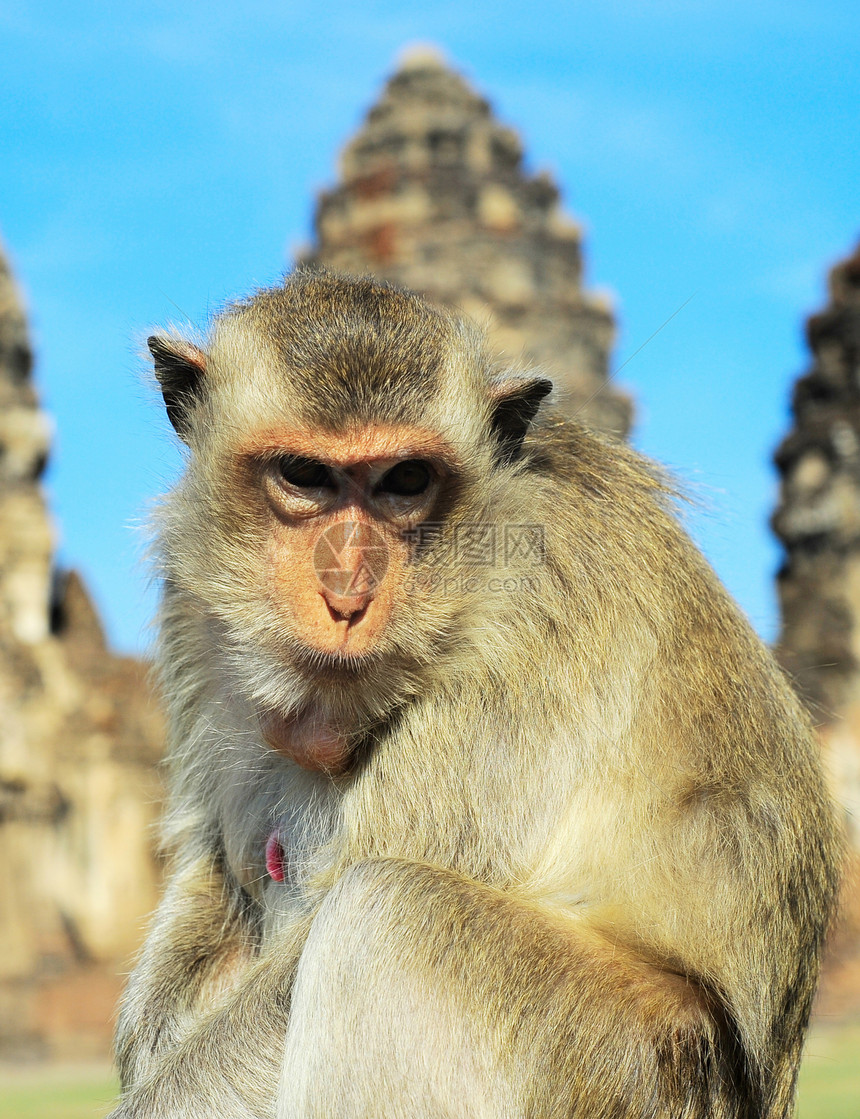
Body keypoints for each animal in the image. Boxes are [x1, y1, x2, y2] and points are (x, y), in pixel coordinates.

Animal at [107, 273, 840, 1119]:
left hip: (624, 1060)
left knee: (385, 913)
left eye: (406, 481)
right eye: (303, 474)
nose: (348, 593)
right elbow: (222, 865)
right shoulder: (192, 600)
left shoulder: (533, 609)